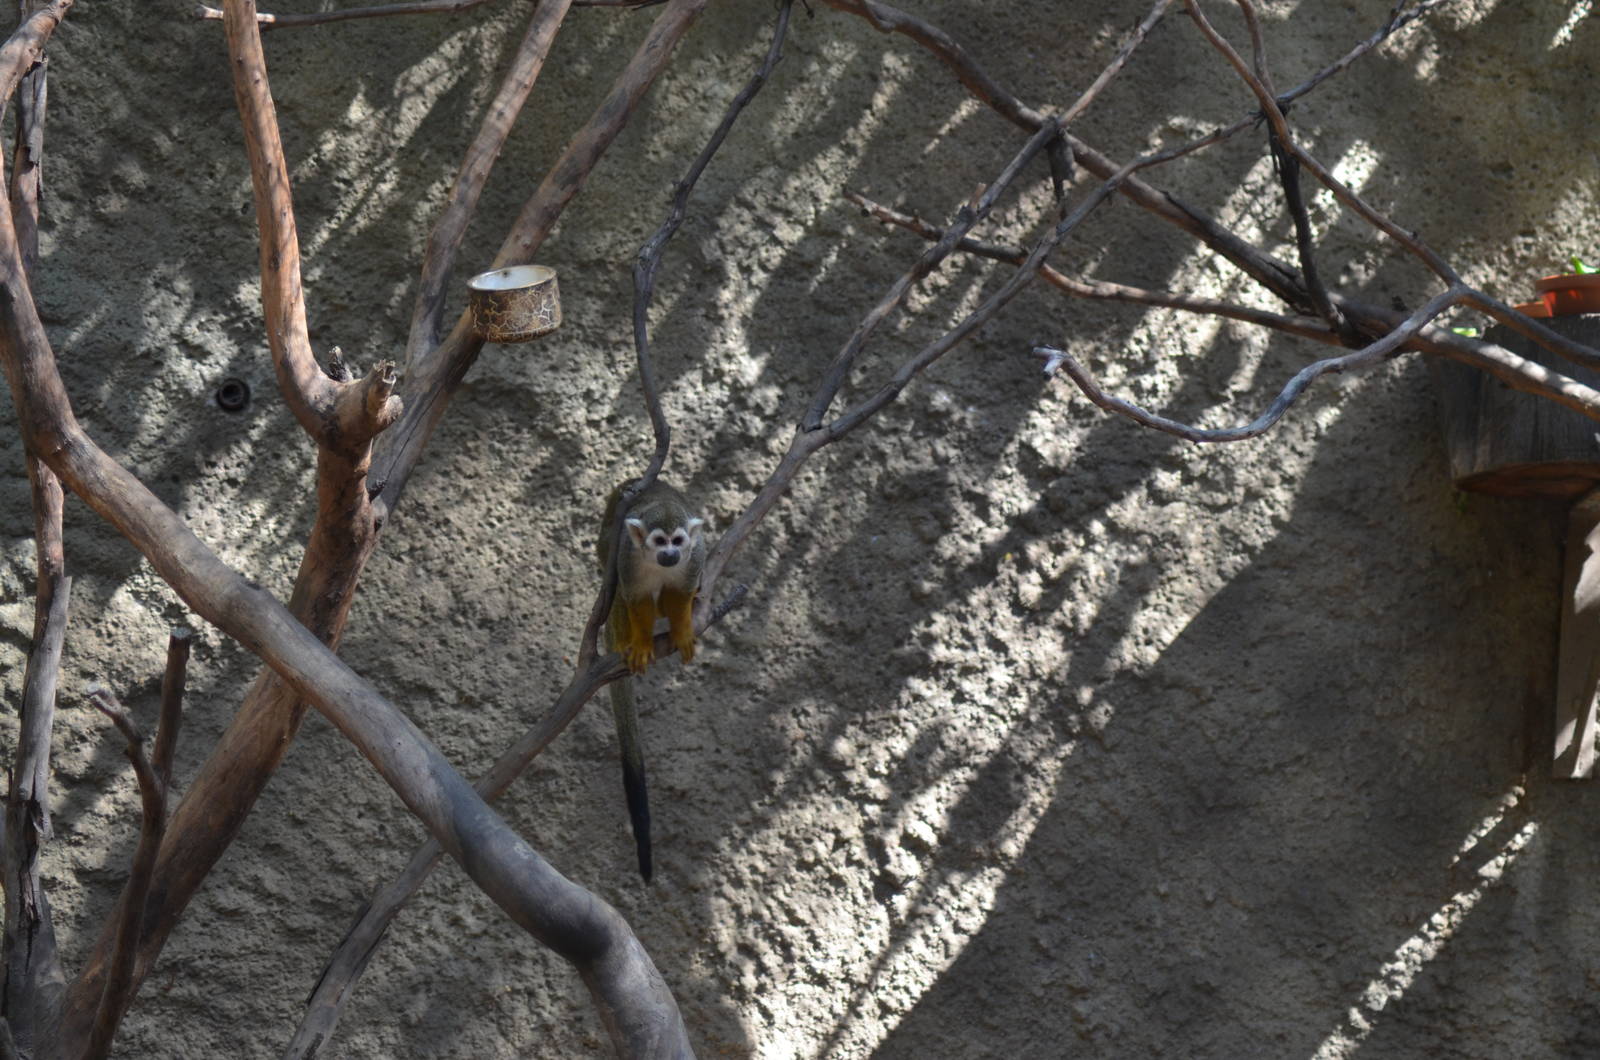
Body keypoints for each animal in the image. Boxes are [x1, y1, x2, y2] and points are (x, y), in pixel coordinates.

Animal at [597, 478, 706, 882]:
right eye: (659, 541)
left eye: (677, 541)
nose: (671, 554)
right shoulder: (628, 556)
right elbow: (636, 596)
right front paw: (642, 644)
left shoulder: (695, 556)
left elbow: (679, 593)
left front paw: (683, 630)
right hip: (610, 554)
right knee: (616, 587)